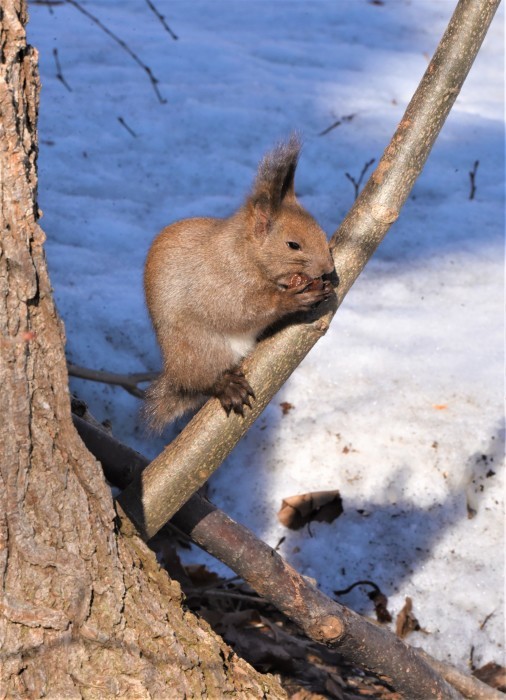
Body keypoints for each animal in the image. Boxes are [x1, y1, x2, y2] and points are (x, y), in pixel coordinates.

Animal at [143, 135, 336, 432]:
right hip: (198, 347)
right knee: (204, 380)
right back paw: (225, 386)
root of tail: (175, 373)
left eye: (322, 232)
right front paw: (291, 299)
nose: (328, 268)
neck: (245, 253)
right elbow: (238, 310)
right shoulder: (218, 282)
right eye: (293, 245)